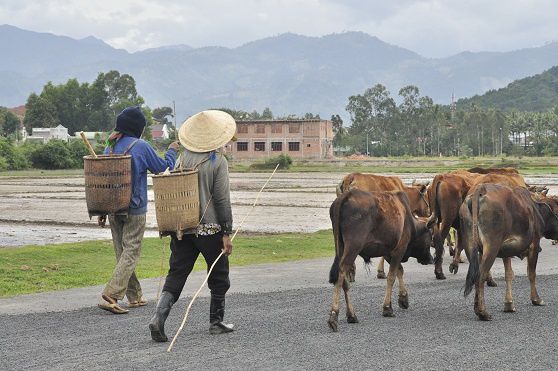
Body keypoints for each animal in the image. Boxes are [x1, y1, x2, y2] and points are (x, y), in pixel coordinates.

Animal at [326, 190, 436, 332]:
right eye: (430, 235)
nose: (431, 259)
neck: (410, 222)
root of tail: (346, 195)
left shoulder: (388, 252)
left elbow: (399, 271)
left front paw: (403, 298)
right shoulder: (399, 249)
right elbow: (391, 277)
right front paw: (387, 308)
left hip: (340, 246)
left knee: (343, 277)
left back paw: (351, 315)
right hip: (353, 246)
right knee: (341, 272)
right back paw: (334, 316)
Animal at [460, 185, 558, 322]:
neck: (534, 209)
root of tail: (482, 189)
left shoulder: (506, 251)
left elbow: (509, 275)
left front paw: (509, 304)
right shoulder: (534, 246)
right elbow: (531, 274)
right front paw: (536, 299)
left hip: (470, 246)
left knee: (475, 276)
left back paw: (477, 309)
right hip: (491, 247)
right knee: (480, 276)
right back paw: (483, 312)